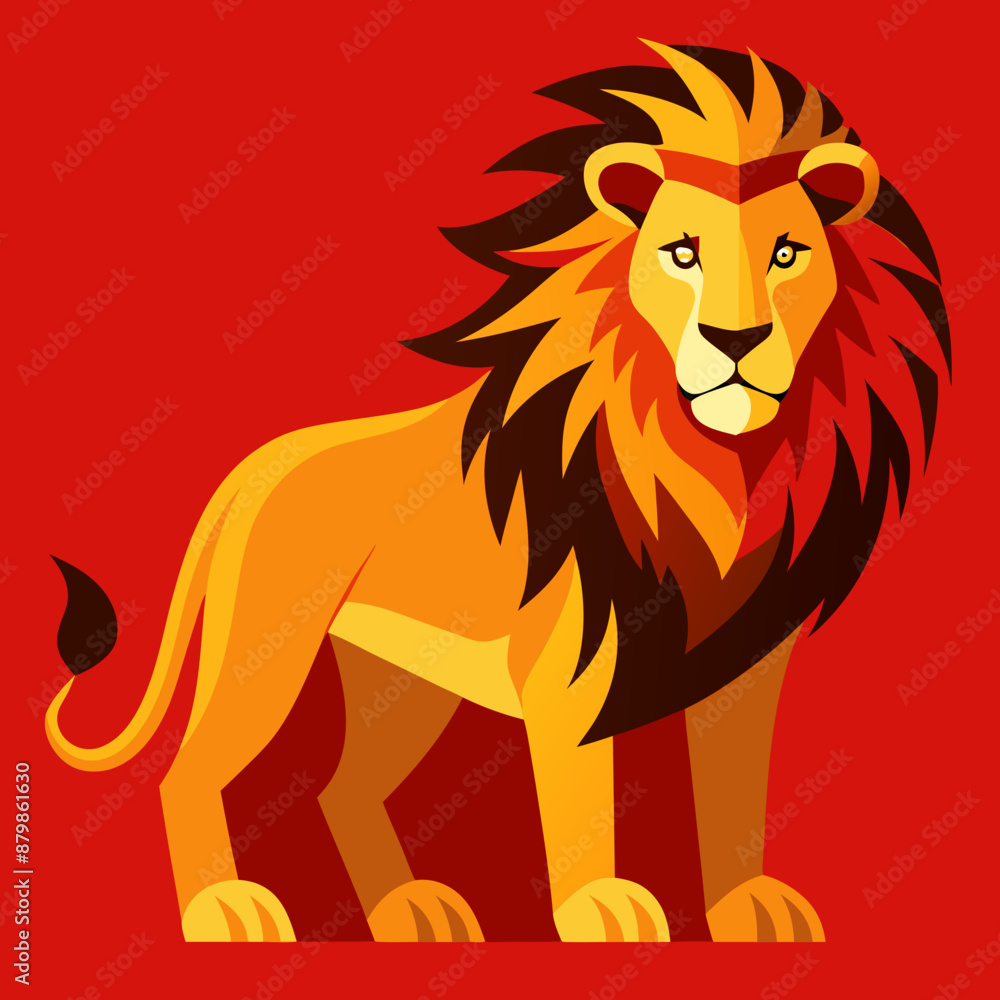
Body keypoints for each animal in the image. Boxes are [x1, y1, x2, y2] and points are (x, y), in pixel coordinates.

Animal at [46, 42, 949, 943]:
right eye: (681, 252)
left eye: (788, 253)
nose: (736, 339)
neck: (712, 460)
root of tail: (260, 465)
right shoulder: (573, 661)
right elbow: (583, 794)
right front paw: (601, 908)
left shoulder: (748, 667)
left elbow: (733, 796)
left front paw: (746, 907)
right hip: (264, 652)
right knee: (189, 773)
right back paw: (222, 910)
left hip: (401, 679)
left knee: (343, 786)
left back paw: (411, 911)